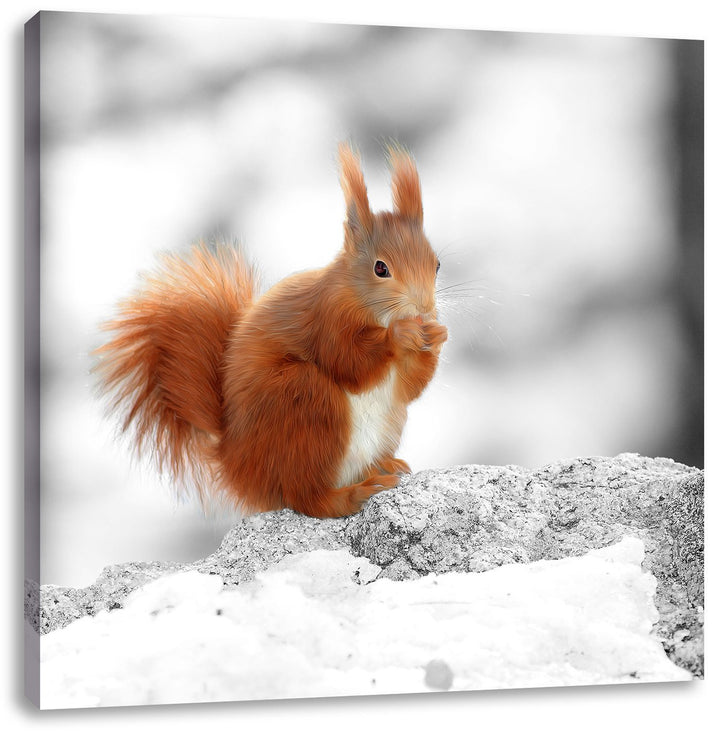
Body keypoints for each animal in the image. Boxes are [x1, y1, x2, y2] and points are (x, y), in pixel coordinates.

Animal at [94, 143, 447, 518]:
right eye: (381, 268)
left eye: (437, 264)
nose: (425, 308)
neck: (369, 307)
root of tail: (237, 465)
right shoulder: (326, 318)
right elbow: (348, 362)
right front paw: (401, 334)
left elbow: (409, 387)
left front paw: (437, 336)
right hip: (302, 403)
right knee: (307, 498)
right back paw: (354, 493)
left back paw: (383, 466)